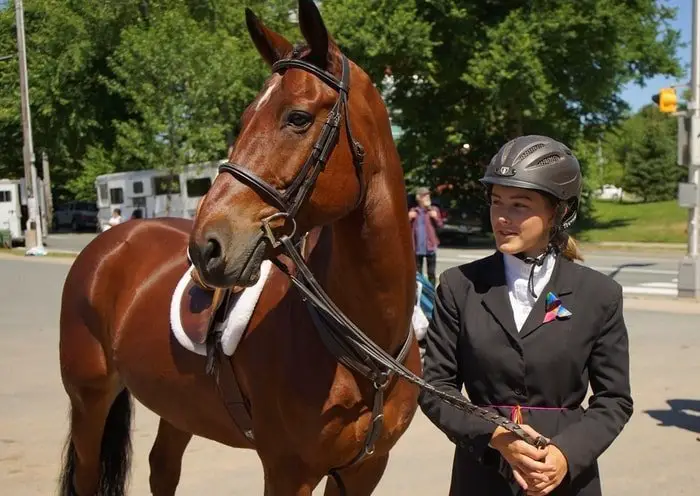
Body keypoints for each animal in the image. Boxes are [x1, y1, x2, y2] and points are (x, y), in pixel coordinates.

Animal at [56, 1, 422, 494]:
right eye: (244, 119)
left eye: (298, 117)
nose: (206, 247)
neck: (364, 349)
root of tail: (111, 241)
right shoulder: (288, 471)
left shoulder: (365, 471)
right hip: (89, 401)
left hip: (178, 406)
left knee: (163, 467)